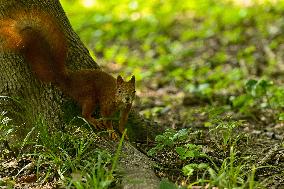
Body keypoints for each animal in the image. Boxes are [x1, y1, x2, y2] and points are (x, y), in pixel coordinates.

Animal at [0, 9, 135, 139]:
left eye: (133, 91)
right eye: (120, 91)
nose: (127, 98)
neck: (120, 101)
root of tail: (68, 80)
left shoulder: (126, 109)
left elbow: (122, 122)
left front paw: (123, 132)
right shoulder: (107, 104)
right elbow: (106, 119)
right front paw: (111, 131)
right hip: (88, 95)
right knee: (84, 113)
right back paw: (93, 120)